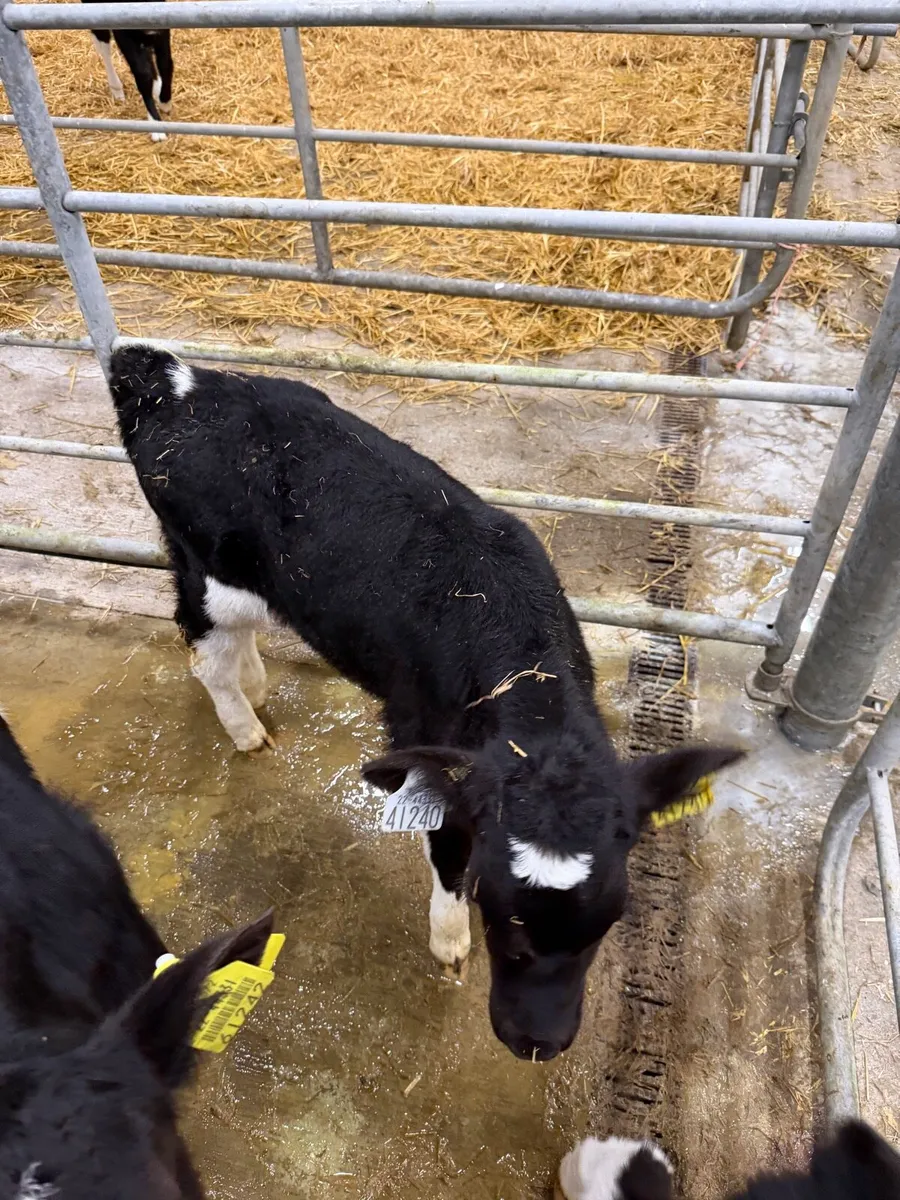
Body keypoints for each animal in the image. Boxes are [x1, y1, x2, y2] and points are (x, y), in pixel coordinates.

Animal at [108, 343, 743, 1061]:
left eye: (607, 923)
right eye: (499, 914)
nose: (539, 1042)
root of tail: (173, 378)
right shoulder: (427, 744)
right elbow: (446, 849)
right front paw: (450, 942)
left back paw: (257, 683)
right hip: (209, 570)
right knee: (204, 649)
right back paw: (245, 727)